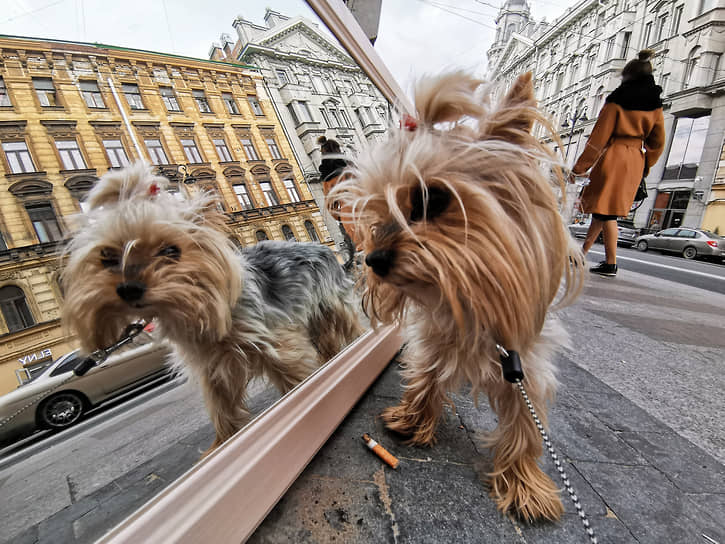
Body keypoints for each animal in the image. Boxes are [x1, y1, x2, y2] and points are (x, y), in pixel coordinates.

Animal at [61, 164, 362, 452]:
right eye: (108, 256)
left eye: (171, 251)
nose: (128, 288)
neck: (197, 308)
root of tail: (324, 249)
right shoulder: (211, 369)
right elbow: (221, 410)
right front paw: (223, 443)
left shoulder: (278, 347)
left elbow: (296, 376)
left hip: (332, 306)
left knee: (348, 327)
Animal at [330, 70, 584, 520]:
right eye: (379, 213)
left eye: (432, 199)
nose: (373, 259)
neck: (467, 293)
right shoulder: (433, 337)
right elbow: (426, 374)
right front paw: (412, 419)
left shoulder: (524, 361)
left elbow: (525, 421)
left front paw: (524, 484)